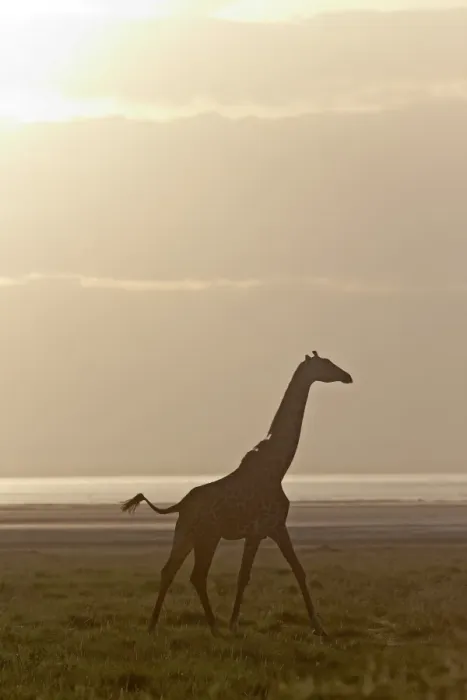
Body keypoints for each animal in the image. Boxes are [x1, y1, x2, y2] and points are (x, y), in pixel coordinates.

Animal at [121, 351, 352, 636]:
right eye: (326, 364)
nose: (347, 376)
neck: (278, 468)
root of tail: (180, 504)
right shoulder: (262, 529)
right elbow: (249, 576)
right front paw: (234, 624)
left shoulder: (272, 529)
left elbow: (294, 570)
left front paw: (318, 626)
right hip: (207, 536)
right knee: (196, 574)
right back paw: (213, 627)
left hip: (186, 534)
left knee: (170, 571)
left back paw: (154, 626)